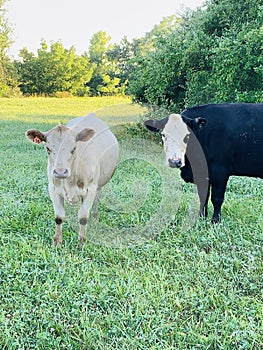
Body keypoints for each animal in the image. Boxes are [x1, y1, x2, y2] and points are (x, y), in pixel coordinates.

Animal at [25, 113, 118, 245]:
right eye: (48, 149)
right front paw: (57, 242)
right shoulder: (52, 188)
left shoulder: (91, 188)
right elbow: (59, 217)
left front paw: (81, 242)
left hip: (100, 183)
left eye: (74, 148)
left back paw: (95, 215)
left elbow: (83, 217)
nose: (60, 172)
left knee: (97, 197)